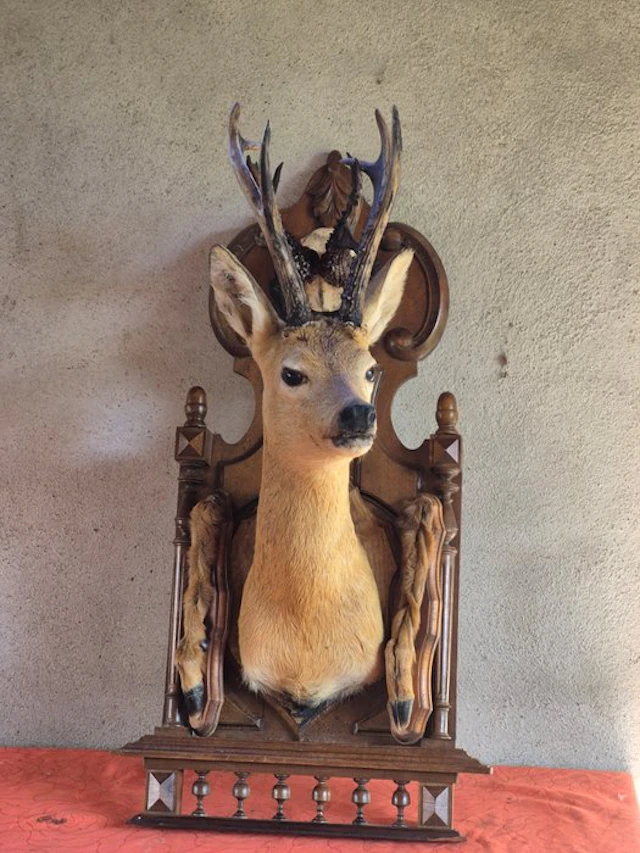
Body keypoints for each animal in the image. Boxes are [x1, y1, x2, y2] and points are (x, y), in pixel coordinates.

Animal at [176, 104, 445, 744]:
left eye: (371, 369)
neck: (305, 649)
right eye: (291, 373)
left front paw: (404, 700)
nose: (359, 413)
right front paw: (196, 683)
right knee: (206, 506)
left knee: (428, 508)